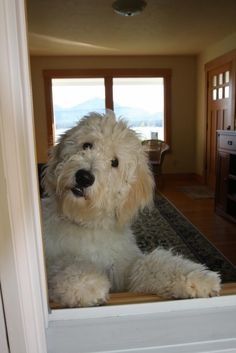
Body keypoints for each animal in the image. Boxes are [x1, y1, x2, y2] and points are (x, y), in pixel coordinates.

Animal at [41, 110, 220, 306]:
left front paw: (199, 279)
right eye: (87, 145)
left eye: (114, 162)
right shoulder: (51, 257)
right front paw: (85, 282)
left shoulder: (125, 268)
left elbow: (149, 265)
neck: (88, 223)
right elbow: (62, 263)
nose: (84, 177)